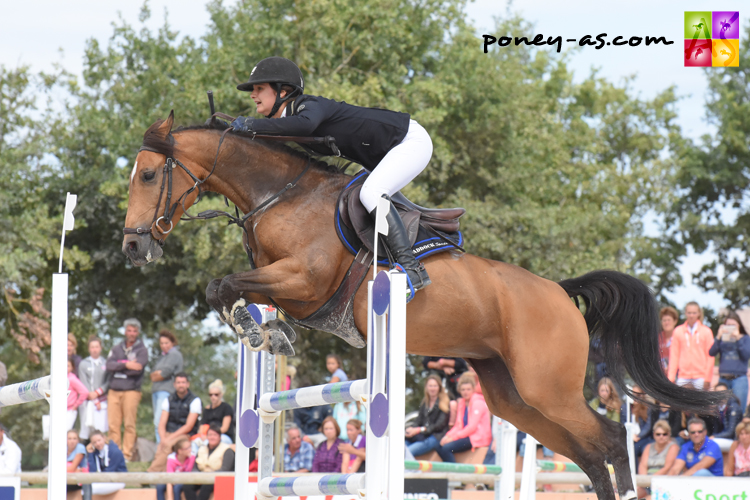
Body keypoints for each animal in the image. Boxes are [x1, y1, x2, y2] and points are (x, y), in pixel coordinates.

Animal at [123, 111, 728, 498]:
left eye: (149, 174)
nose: (132, 247)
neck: (280, 197)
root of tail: (559, 292)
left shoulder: (304, 281)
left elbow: (224, 285)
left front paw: (262, 332)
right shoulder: (282, 285)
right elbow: (226, 289)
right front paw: (266, 332)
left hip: (547, 388)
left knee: (607, 440)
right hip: (513, 395)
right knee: (585, 453)